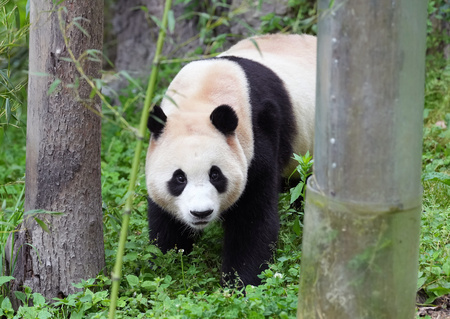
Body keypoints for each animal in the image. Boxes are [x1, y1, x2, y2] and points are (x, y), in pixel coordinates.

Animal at [146, 33, 314, 286]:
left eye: (215, 175)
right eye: (179, 178)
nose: (201, 213)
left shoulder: (259, 133)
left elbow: (252, 218)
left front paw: (240, 283)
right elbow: (164, 219)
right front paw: (166, 260)